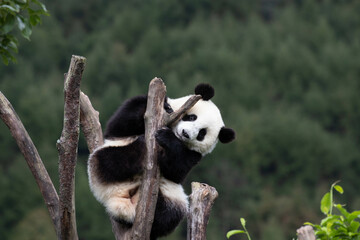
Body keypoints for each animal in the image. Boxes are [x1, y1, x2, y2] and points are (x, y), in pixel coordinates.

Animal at [87, 83, 236, 239]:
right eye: (191, 117)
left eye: (202, 134)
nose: (185, 133)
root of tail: (125, 201)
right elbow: (120, 124)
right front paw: (165, 108)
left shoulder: (194, 155)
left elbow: (176, 170)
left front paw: (166, 138)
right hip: (101, 163)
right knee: (110, 160)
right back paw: (139, 148)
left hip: (171, 198)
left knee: (170, 215)